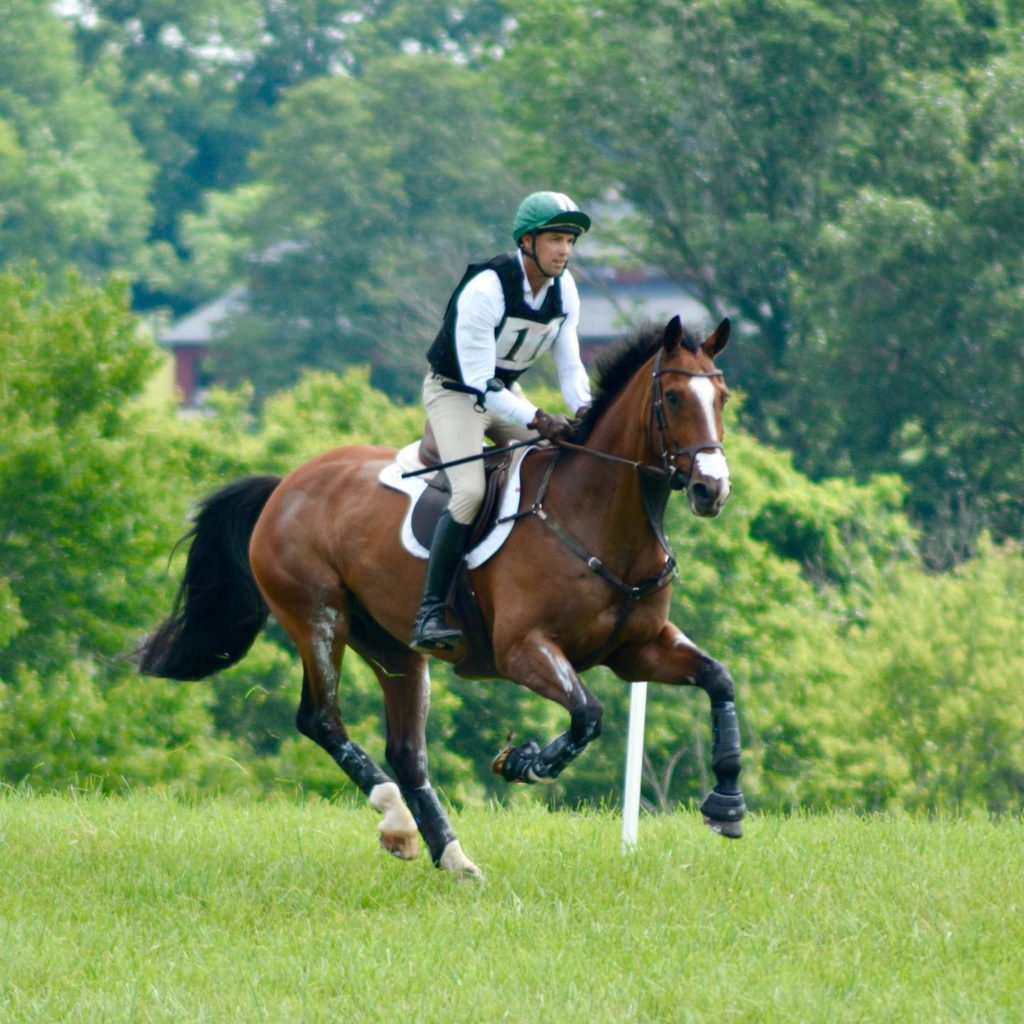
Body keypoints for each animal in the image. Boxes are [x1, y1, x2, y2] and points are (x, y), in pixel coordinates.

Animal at [136, 315, 745, 876]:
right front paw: (524, 762)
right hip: (318, 616)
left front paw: (727, 804)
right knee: (322, 721)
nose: (711, 489)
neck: (596, 514)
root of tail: (284, 485)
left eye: (722, 397)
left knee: (407, 751)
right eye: (672, 396)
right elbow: (587, 714)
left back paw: (449, 854)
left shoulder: (638, 650)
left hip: (392, 646)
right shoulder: (524, 650)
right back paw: (398, 821)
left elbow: (718, 678)